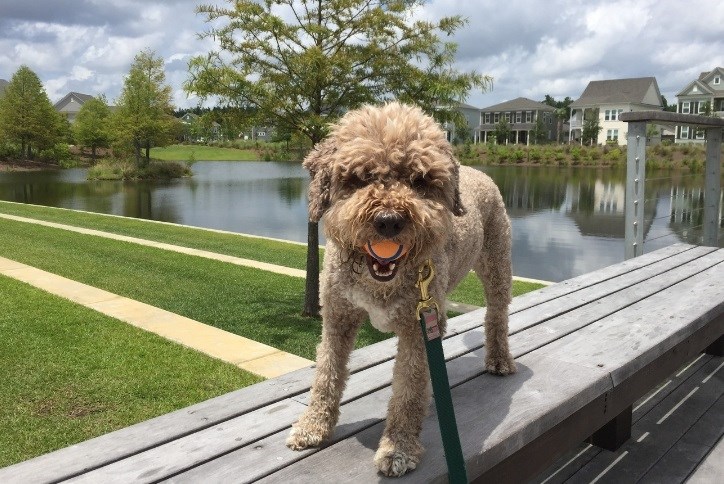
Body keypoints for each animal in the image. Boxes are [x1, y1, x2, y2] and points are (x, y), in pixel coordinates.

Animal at [286, 101, 516, 476]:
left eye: (419, 181)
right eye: (360, 177)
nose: (389, 221)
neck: (379, 279)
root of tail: (477, 171)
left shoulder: (418, 327)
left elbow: (408, 390)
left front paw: (398, 449)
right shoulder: (337, 317)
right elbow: (326, 373)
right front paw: (312, 426)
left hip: (497, 266)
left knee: (497, 315)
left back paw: (499, 359)